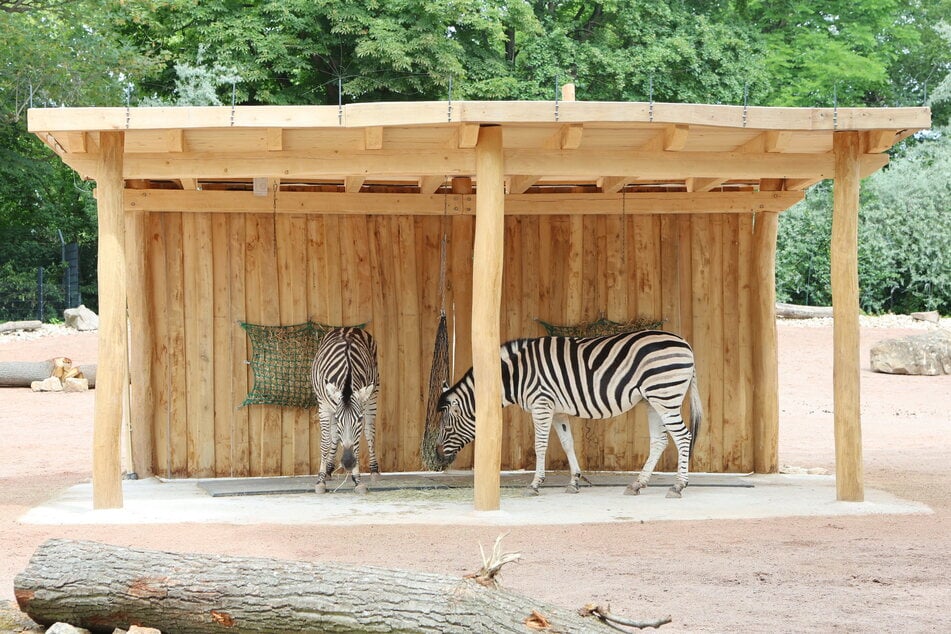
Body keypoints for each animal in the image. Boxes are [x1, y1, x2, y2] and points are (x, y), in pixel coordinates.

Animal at [311, 327, 380, 494]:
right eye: (337, 418)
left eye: (359, 419)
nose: (348, 462)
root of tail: (350, 328)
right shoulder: (324, 406)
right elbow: (325, 441)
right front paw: (320, 481)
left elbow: (357, 443)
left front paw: (357, 480)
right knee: (334, 435)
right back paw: (328, 470)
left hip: (373, 395)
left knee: (370, 433)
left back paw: (374, 471)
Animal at [435, 330, 703, 498]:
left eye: (446, 425)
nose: (436, 454)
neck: (516, 375)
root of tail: (686, 343)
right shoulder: (558, 411)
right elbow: (567, 443)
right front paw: (574, 481)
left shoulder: (541, 403)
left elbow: (540, 445)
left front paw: (535, 484)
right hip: (652, 400)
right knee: (659, 441)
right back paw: (637, 484)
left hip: (665, 395)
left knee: (683, 437)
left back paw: (678, 486)